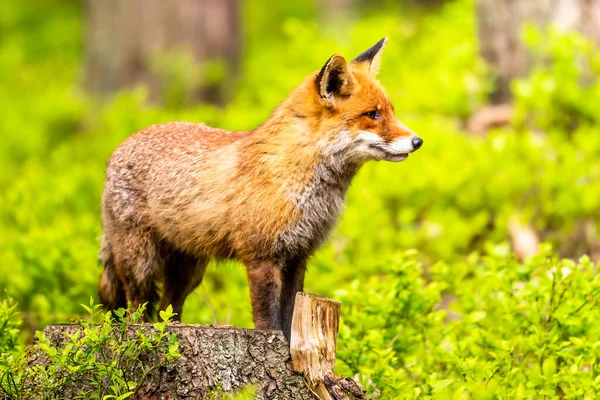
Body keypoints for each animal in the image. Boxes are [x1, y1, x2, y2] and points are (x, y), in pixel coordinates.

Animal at [99, 37, 422, 340]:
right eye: (373, 115)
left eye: (390, 112)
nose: (418, 142)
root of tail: (119, 147)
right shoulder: (262, 257)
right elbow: (269, 321)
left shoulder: (297, 256)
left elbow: (291, 318)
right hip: (141, 264)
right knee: (135, 312)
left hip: (189, 271)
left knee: (167, 310)